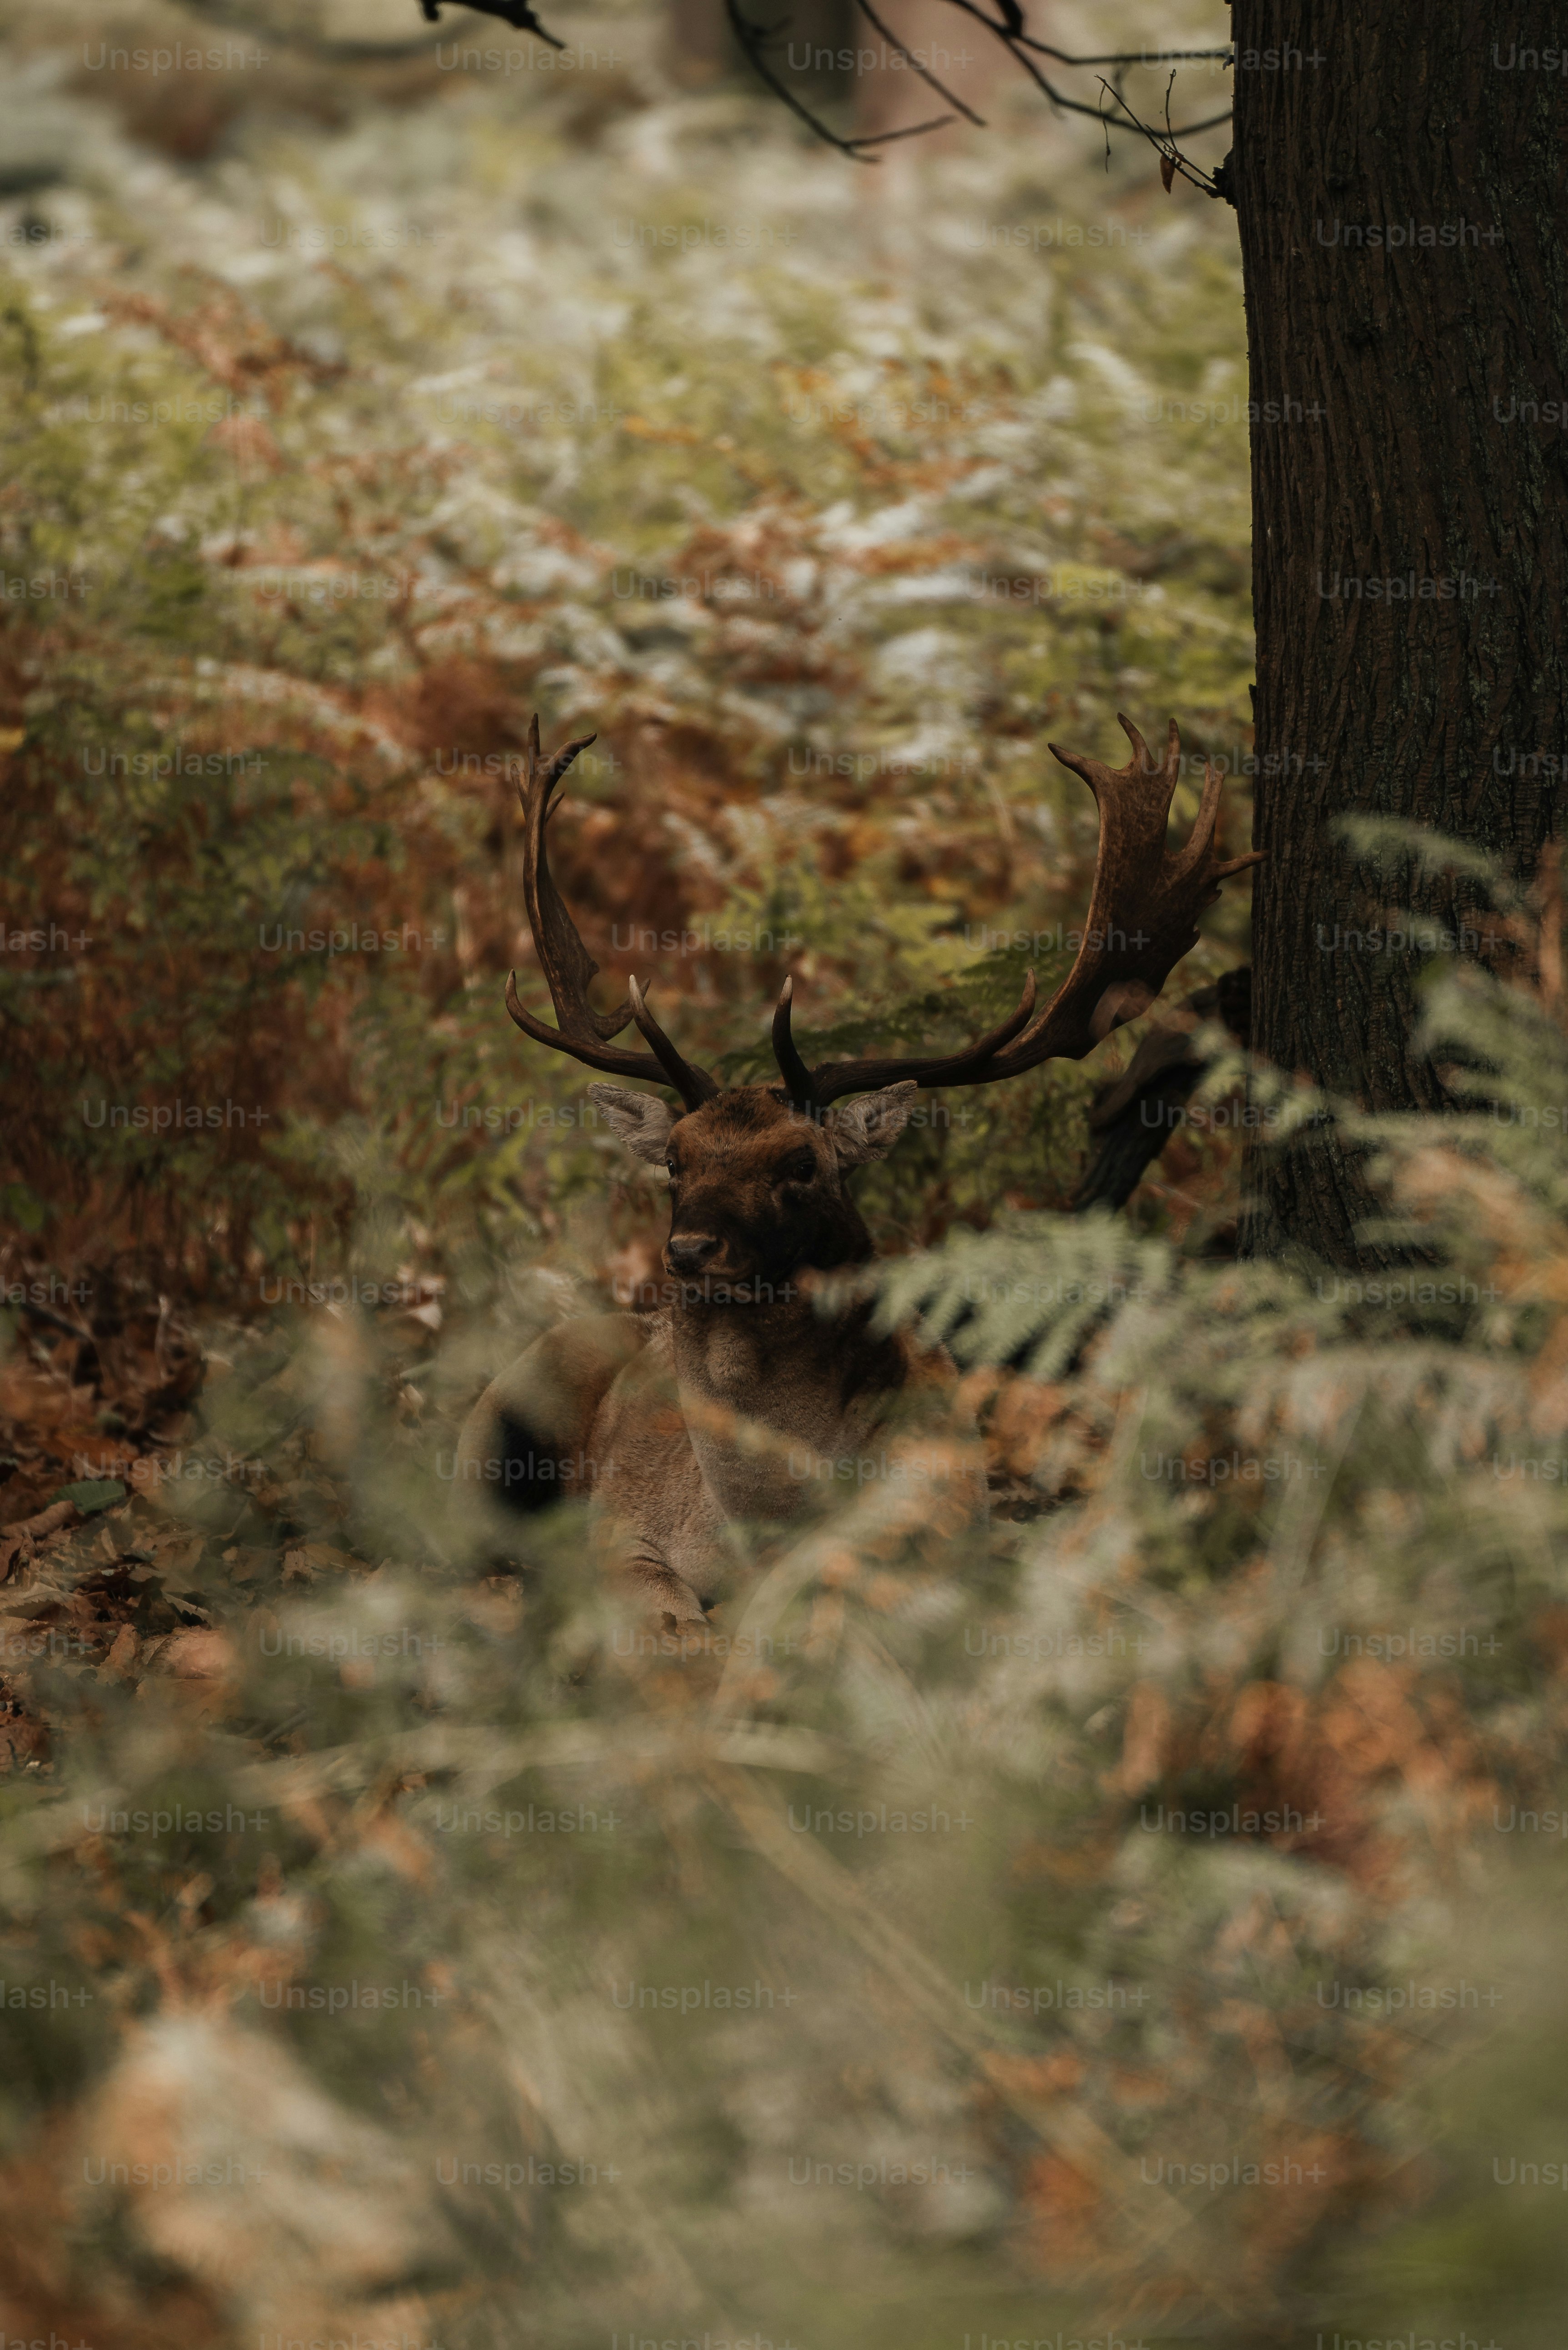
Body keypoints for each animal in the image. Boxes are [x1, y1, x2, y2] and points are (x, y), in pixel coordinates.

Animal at [454, 715, 1260, 1628]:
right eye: (675, 1159)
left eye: (801, 1161)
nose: (691, 1250)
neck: (759, 1527)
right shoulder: (624, 1531)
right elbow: (666, 1616)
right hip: (499, 1416)